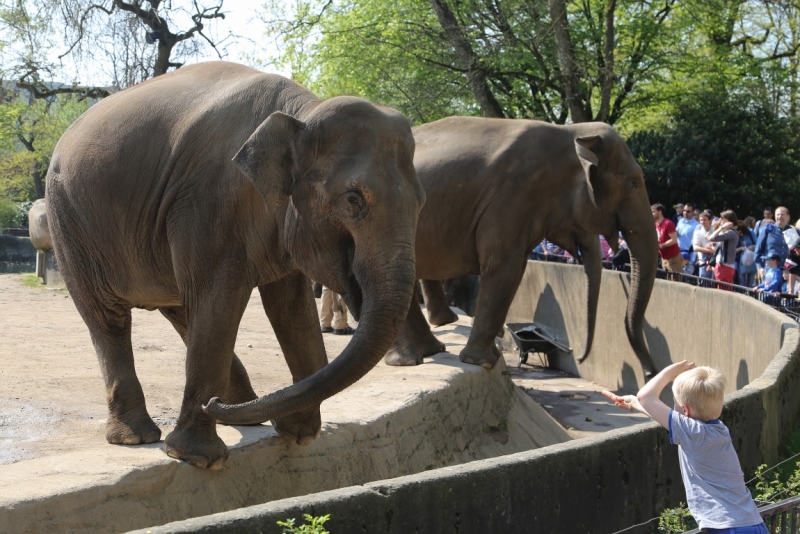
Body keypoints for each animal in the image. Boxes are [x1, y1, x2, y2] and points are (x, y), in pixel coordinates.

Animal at [47, 63, 424, 474]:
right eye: (353, 200)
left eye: (422, 200)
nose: (211, 404)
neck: (302, 113)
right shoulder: (209, 200)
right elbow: (220, 299)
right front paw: (198, 458)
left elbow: (291, 307)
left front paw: (300, 435)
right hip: (69, 222)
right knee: (109, 317)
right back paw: (138, 437)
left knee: (181, 307)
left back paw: (240, 409)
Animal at [382, 118, 656, 376]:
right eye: (633, 183)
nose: (579, 357)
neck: (570, 132)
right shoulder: (512, 194)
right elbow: (504, 266)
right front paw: (482, 362)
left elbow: (516, 268)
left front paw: (491, 356)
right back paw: (407, 360)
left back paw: (430, 350)